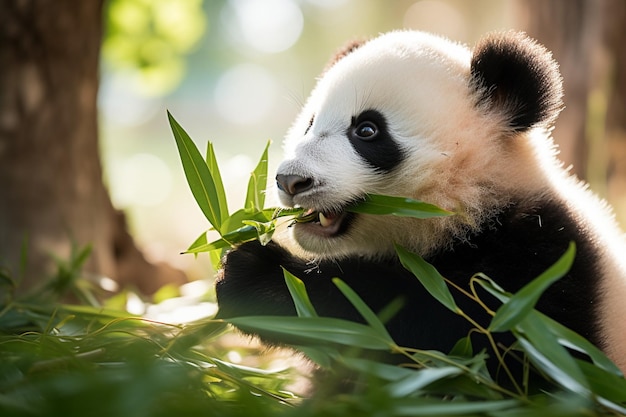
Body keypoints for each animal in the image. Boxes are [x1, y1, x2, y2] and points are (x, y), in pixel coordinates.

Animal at [214, 30, 624, 380]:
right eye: (309, 124)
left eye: (367, 130)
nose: (291, 180)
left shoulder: (535, 270)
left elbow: (439, 329)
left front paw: (256, 279)